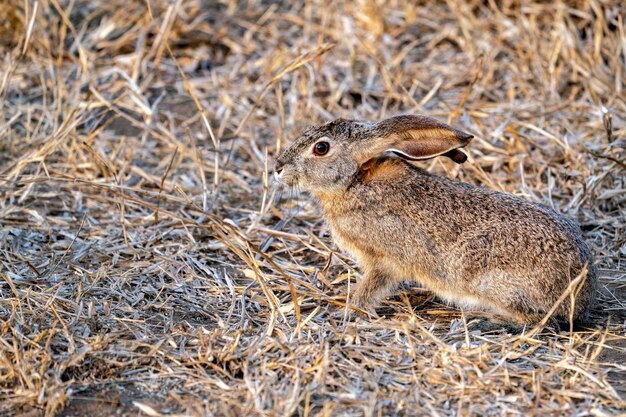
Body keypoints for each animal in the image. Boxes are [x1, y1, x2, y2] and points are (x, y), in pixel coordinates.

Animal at [272, 114, 596, 328]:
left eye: (321, 148)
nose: (277, 167)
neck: (354, 182)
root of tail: (581, 296)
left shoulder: (384, 260)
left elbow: (369, 289)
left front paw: (345, 312)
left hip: (491, 281)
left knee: (537, 319)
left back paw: (484, 316)